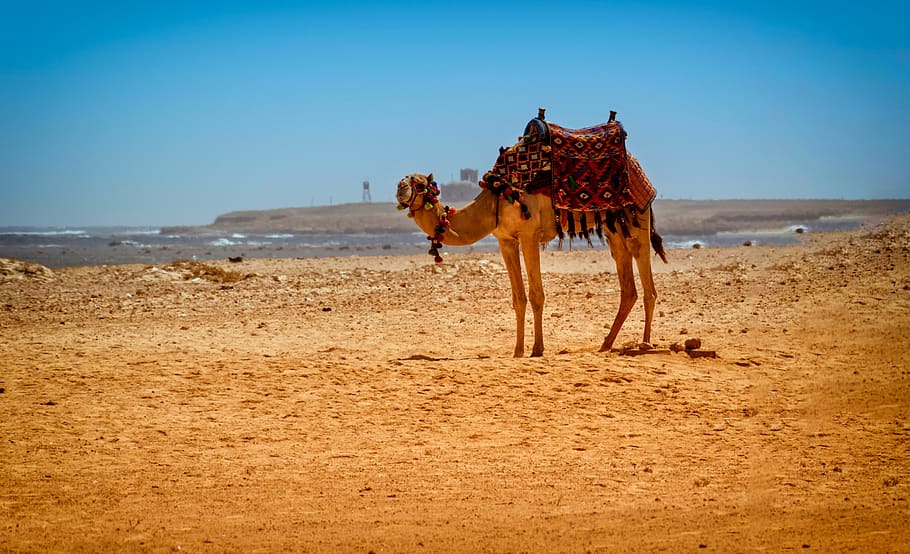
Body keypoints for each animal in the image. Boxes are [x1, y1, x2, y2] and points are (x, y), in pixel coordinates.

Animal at [396, 113, 667, 357]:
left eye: (420, 183)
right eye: (405, 178)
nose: (401, 187)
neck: (496, 196)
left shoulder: (529, 235)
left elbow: (537, 295)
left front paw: (537, 349)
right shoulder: (505, 240)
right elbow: (519, 298)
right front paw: (517, 350)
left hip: (637, 216)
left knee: (645, 272)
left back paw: (645, 343)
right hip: (614, 227)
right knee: (627, 282)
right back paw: (606, 343)